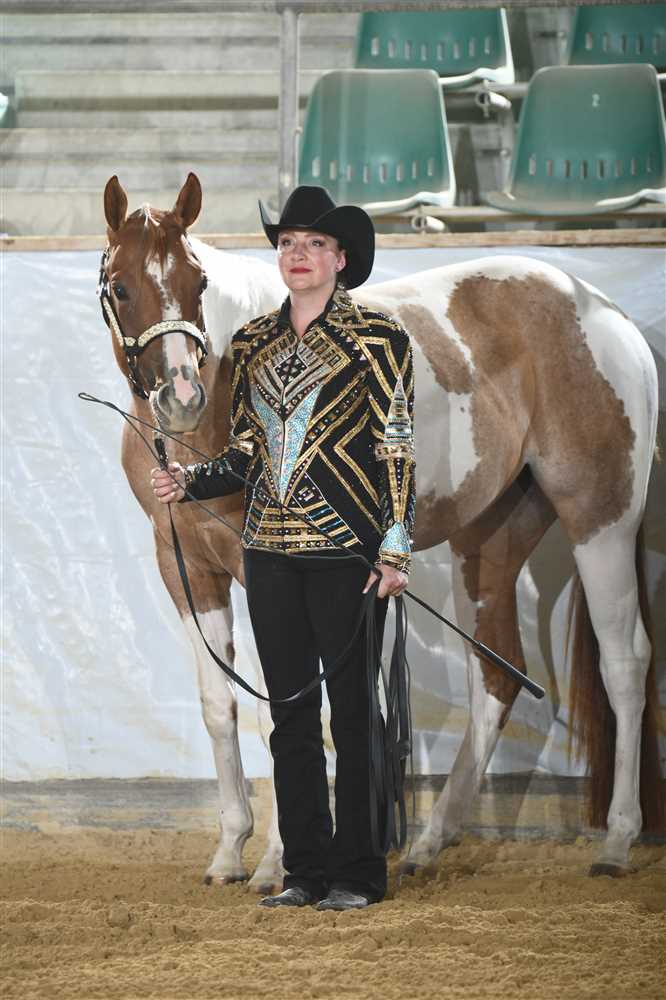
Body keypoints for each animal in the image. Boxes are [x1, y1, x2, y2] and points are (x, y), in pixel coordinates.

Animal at [100, 172, 662, 892]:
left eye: (198, 283)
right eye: (121, 287)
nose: (181, 396)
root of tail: (603, 313)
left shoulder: (262, 564)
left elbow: (285, 700)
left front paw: (277, 862)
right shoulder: (186, 568)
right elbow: (219, 704)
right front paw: (229, 850)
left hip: (601, 520)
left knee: (626, 664)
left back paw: (616, 841)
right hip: (492, 538)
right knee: (496, 674)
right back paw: (429, 840)